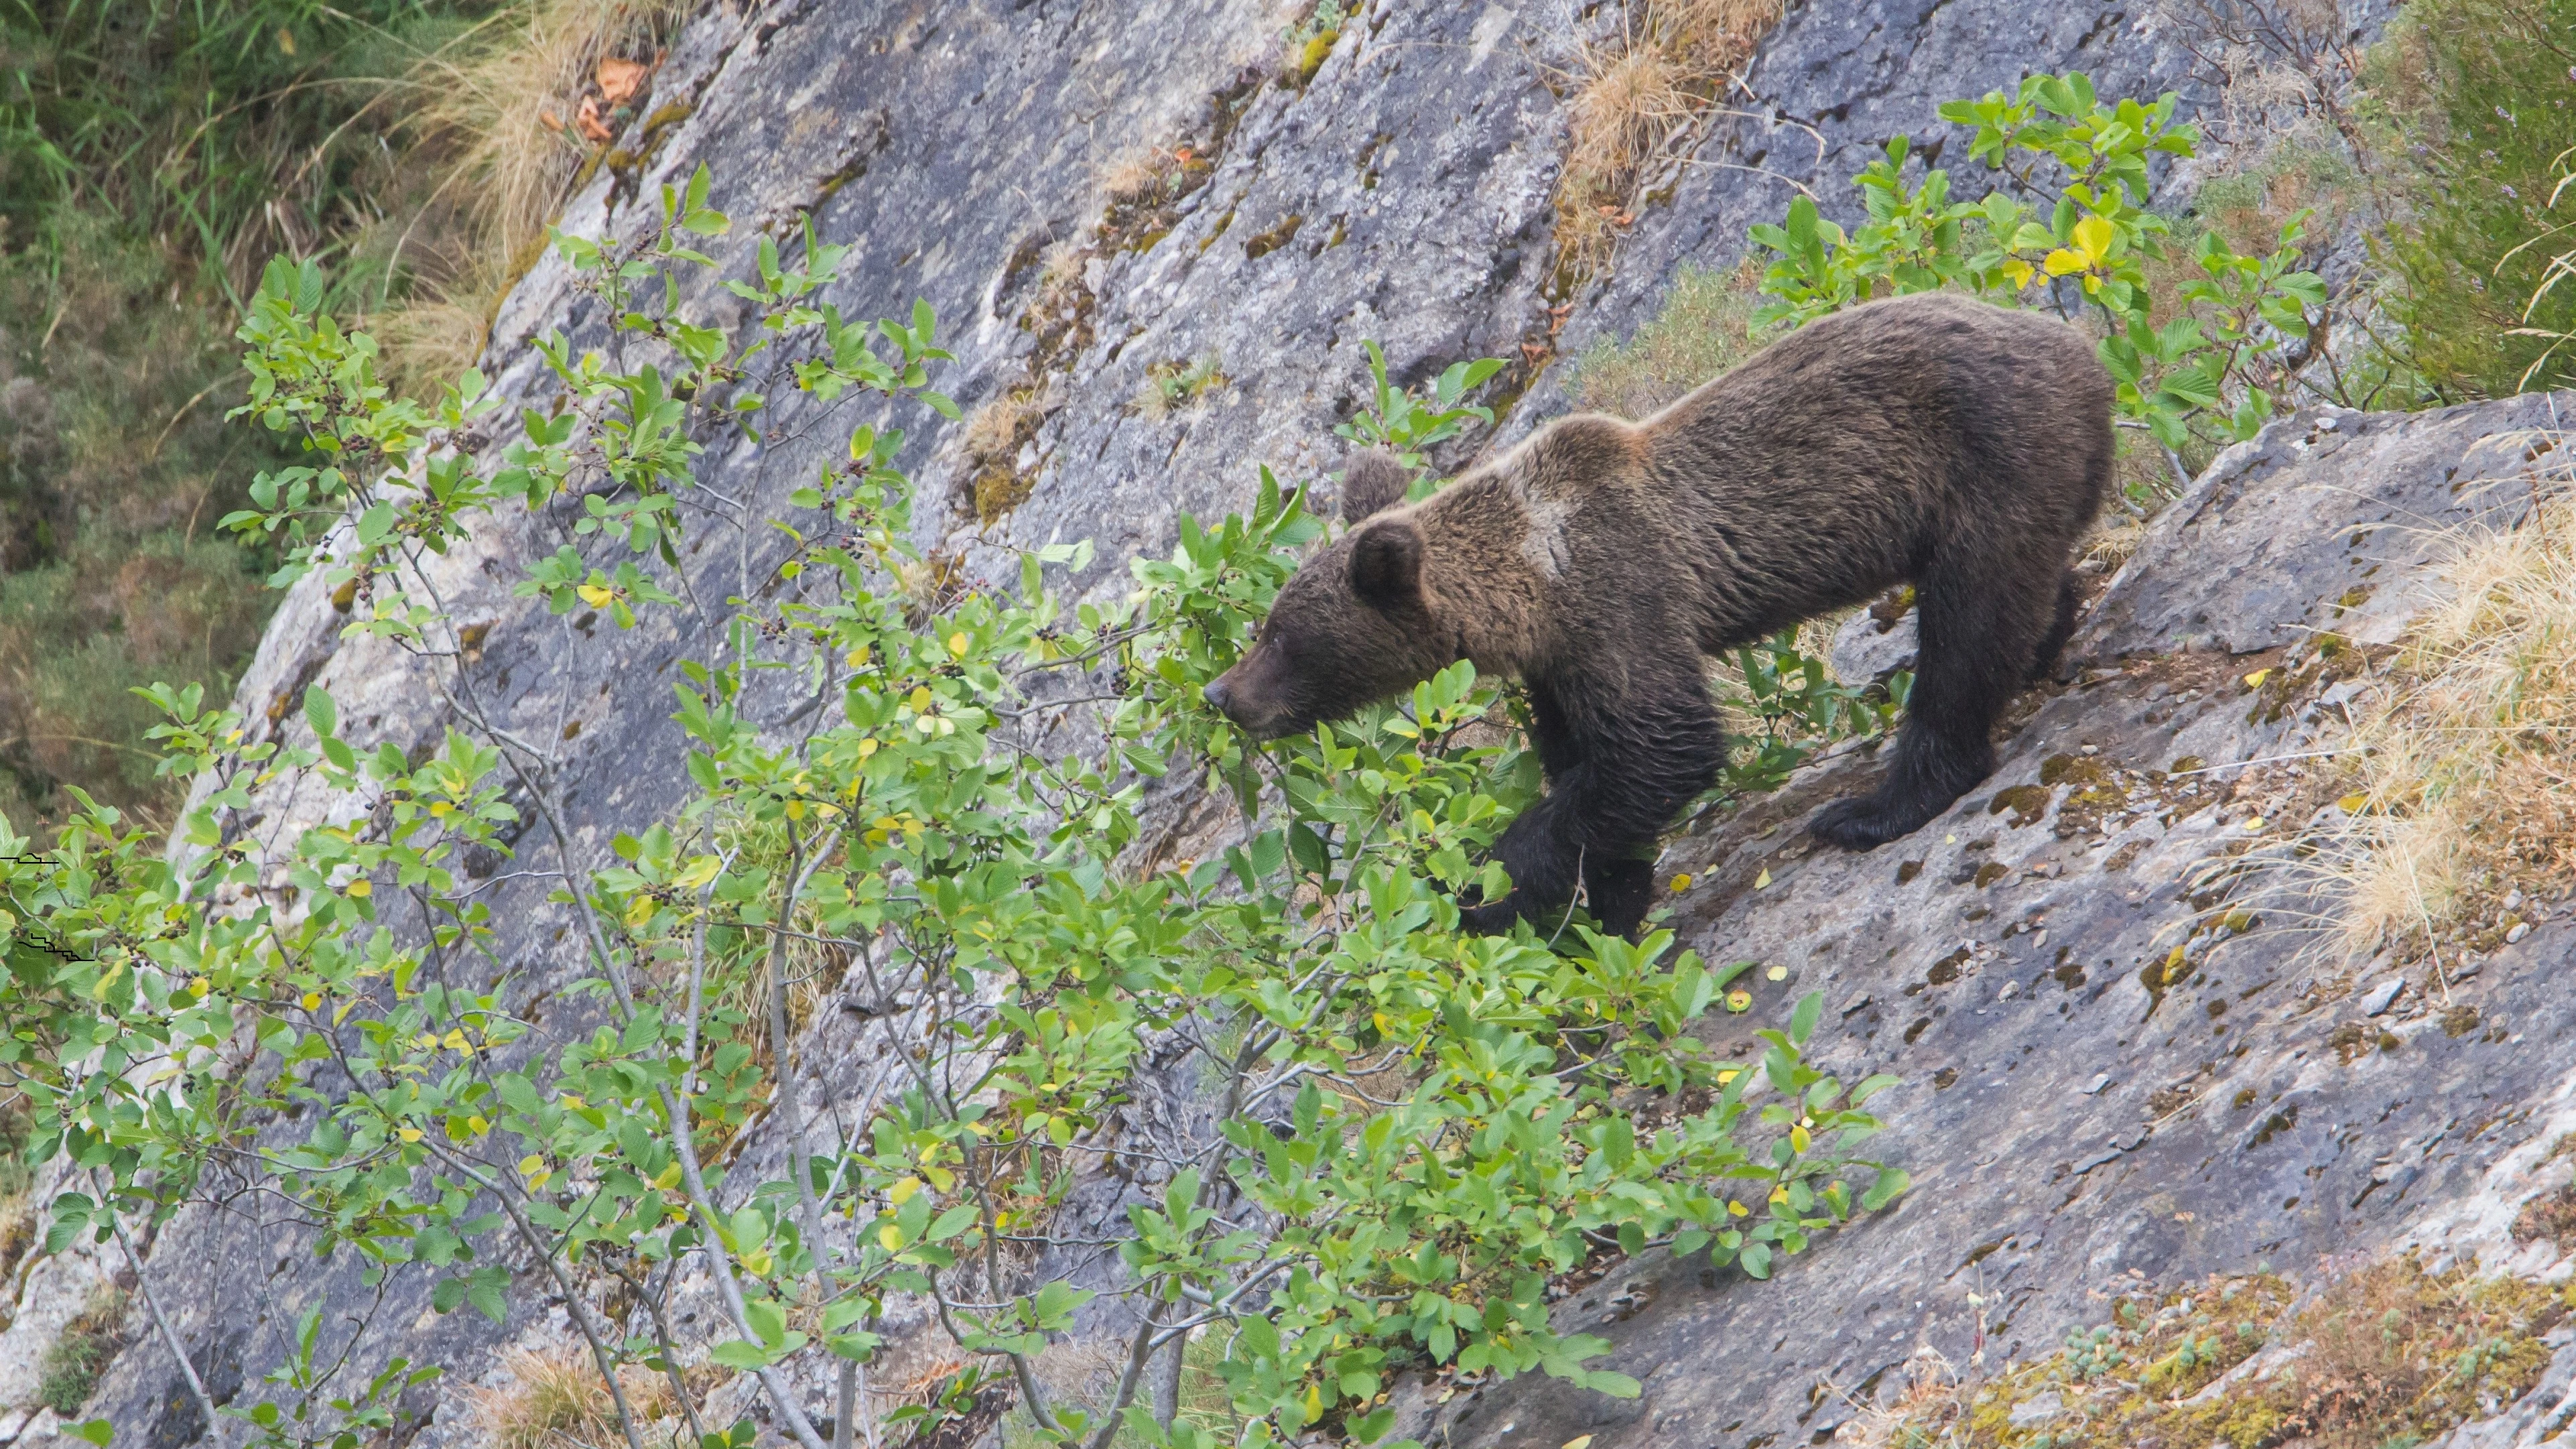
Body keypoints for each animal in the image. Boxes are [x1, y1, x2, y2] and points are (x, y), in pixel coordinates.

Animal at [1205, 287, 2112, 928]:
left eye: (1280, 635)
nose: (1221, 693)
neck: (1531, 578)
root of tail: (2080, 346)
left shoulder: (1621, 595)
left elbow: (1663, 746)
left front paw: (1484, 889)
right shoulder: (1560, 663)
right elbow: (1599, 775)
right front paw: (1604, 903)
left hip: (1988, 454)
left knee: (1968, 622)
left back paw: (1875, 805)